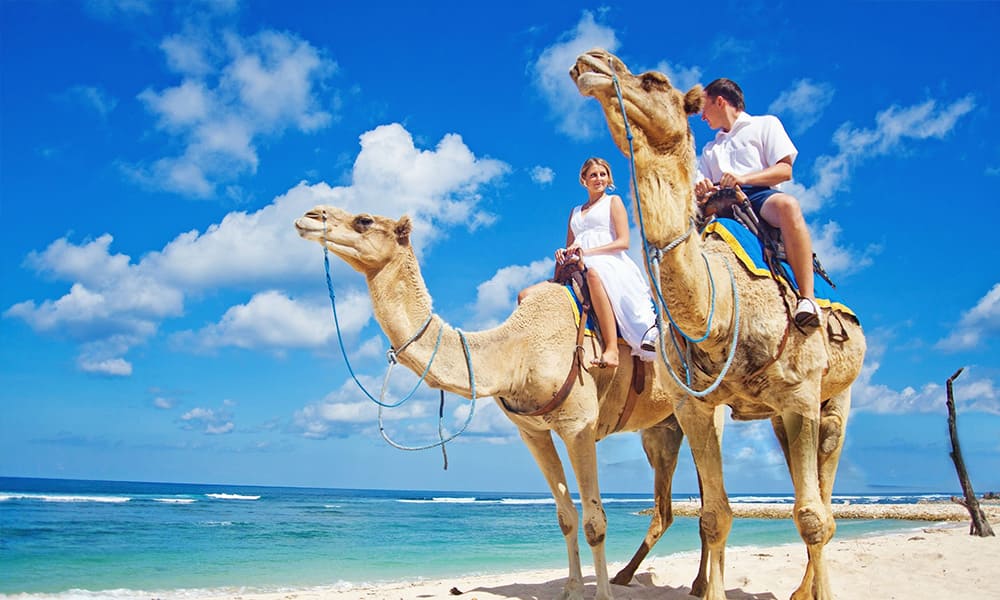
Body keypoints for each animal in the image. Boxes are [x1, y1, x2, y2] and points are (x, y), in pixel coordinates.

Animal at [295, 207, 716, 600]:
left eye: (364, 220)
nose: (309, 216)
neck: (518, 349)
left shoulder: (578, 425)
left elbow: (595, 521)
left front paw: (599, 595)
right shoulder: (532, 432)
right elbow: (566, 516)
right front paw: (572, 589)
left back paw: (697, 585)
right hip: (661, 430)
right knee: (666, 508)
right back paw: (630, 576)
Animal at [570, 49, 867, 600]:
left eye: (653, 79)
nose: (590, 59)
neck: (722, 309)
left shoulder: (800, 394)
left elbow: (812, 518)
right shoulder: (694, 407)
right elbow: (714, 515)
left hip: (834, 398)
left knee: (824, 506)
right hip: (777, 417)